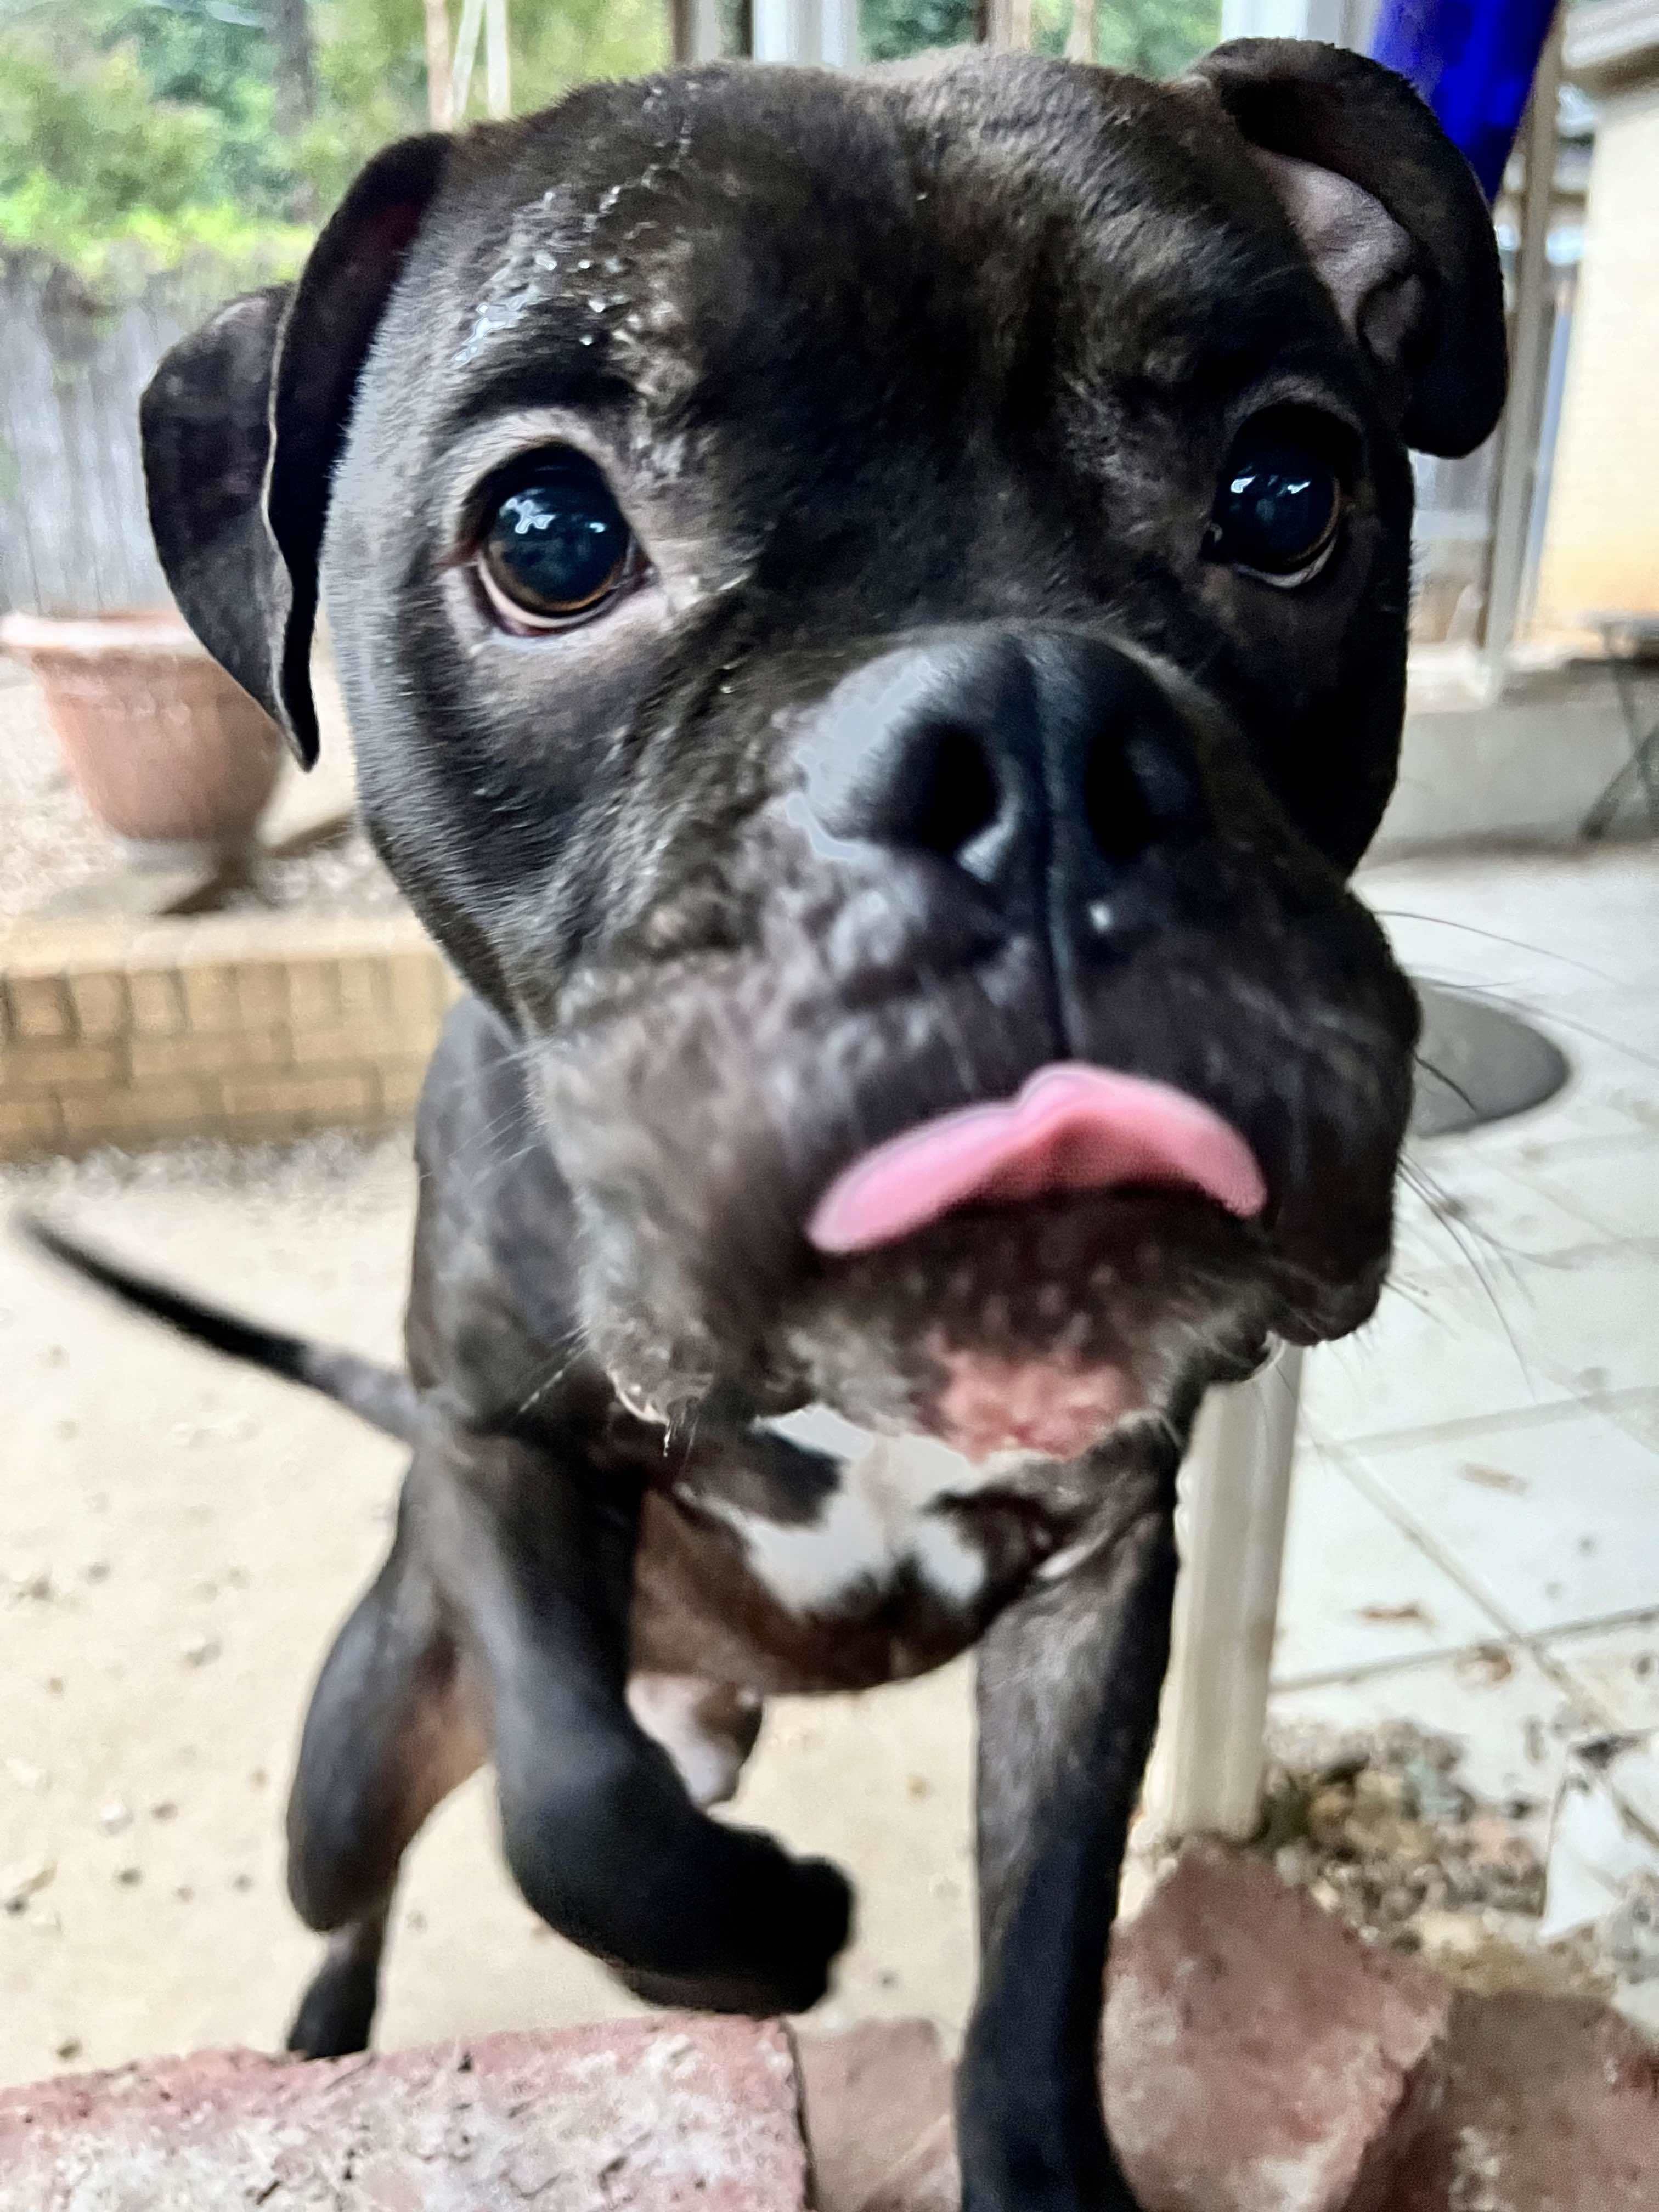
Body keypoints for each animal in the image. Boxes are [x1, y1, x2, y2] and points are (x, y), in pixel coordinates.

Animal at [29, 39, 1504, 2212]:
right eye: (548, 533)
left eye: (1286, 494)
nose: (1036, 733)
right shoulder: (495, 1445)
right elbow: (574, 1802)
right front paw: (751, 1934)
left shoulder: (1097, 1578)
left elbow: (1042, 1952)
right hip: (358, 1732)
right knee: (370, 1874)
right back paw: (333, 2041)